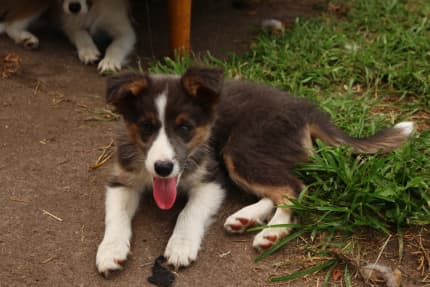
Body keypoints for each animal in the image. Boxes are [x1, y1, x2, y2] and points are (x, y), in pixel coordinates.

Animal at [95, 67, 414, 276]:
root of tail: (306, 110)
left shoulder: (211, 179)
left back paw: (272, 232)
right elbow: (116, 216)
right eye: (146, 126)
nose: (163, 168)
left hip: (240, 148)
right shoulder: (122, 179)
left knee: (295, 187)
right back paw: (245, 218)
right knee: (279, 188)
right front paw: (110, 250)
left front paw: (180, 246)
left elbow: (188, 213)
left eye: (185, 128)